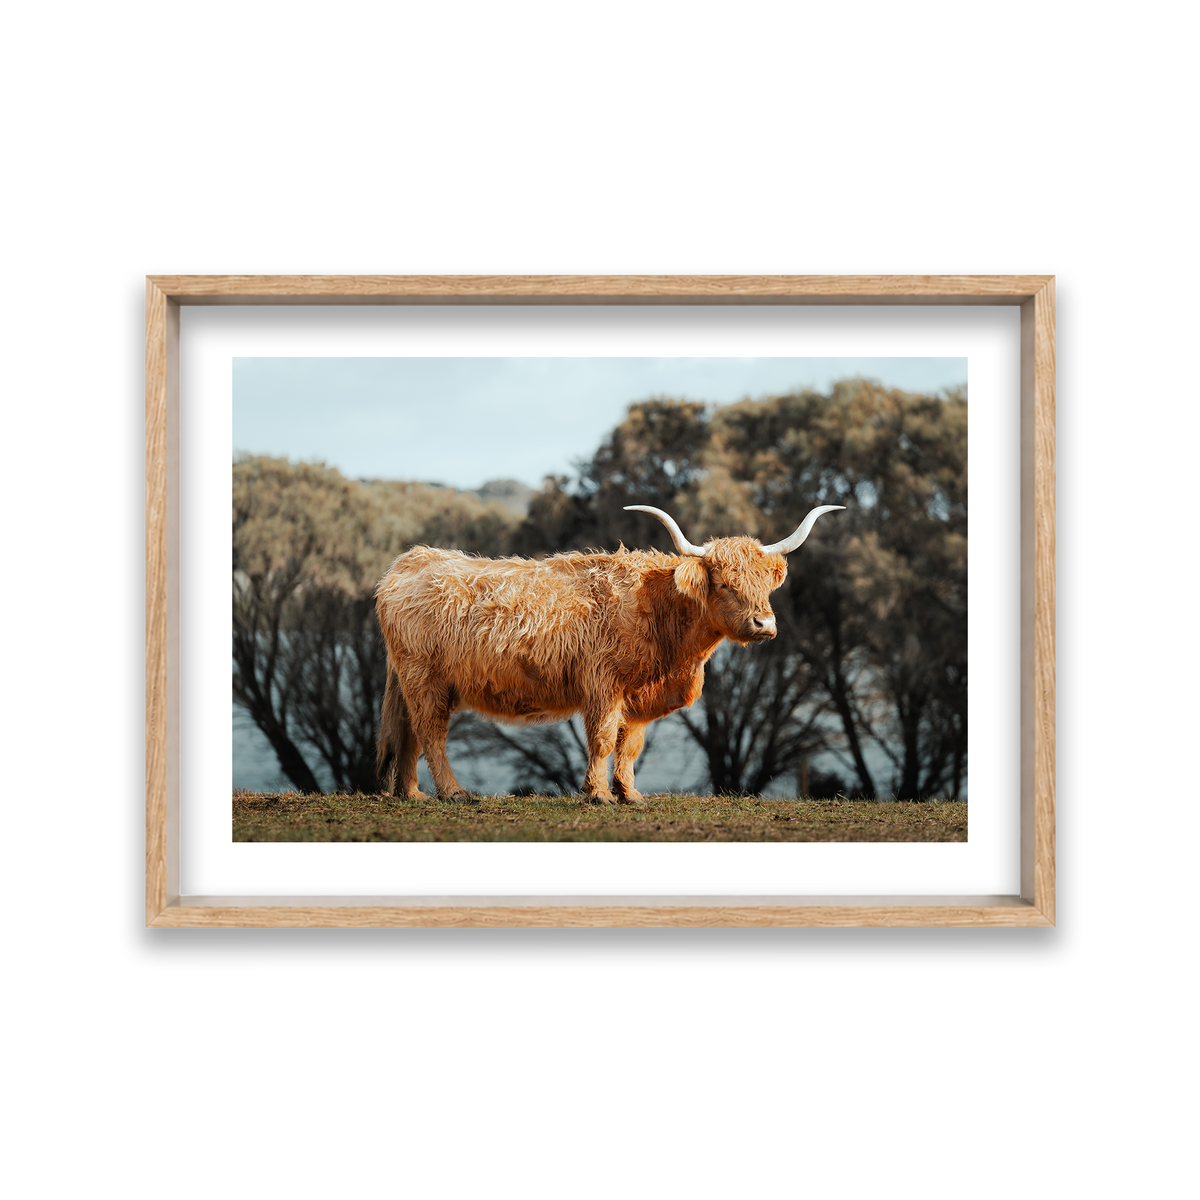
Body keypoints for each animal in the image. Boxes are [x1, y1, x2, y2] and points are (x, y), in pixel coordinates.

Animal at [374, 503, 844, 804]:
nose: (764, 625)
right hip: (425, 678)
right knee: (431, 733)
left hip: (414, 681)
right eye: (726, 584)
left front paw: (630, 794)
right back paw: (453, 793)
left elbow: (630, 744)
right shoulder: (603, 684)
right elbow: (601, 739)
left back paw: (412, 794)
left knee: (409, 734)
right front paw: (598, 794)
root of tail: (412, 559)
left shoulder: (637, 695)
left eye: (765, 585)